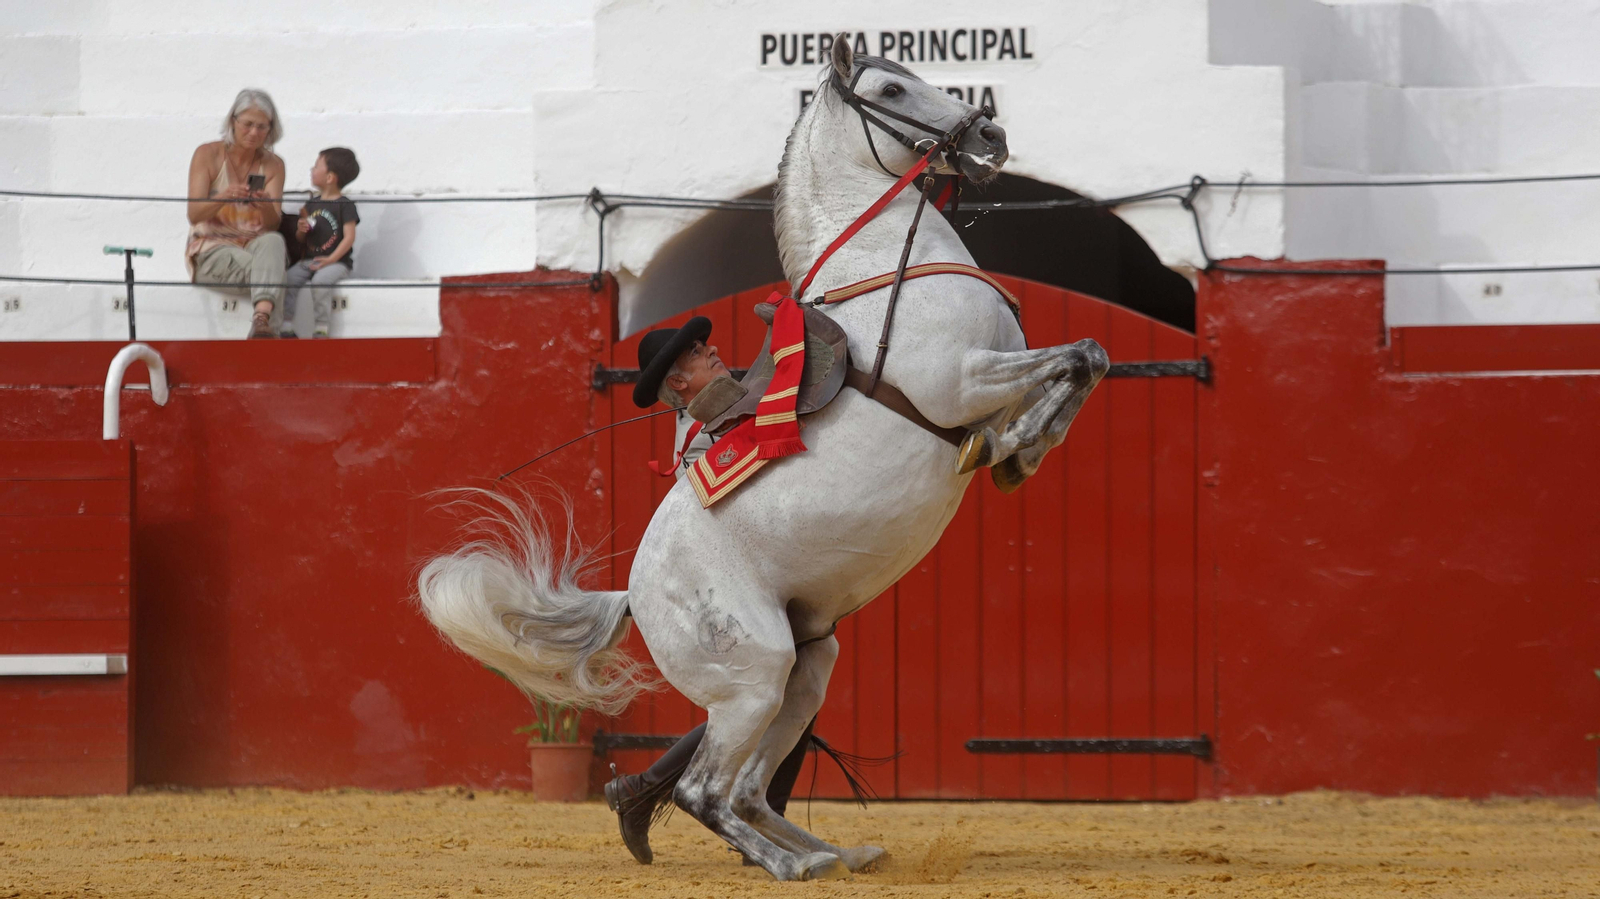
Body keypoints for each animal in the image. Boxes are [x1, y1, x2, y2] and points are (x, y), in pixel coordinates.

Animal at [417, 36, 1109, 881]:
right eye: (890, 89)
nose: (990, 138)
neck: (884, 267)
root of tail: (632, 595)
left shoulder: (991, 383)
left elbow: (1086, 360)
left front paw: (1020, 450)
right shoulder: (960, 381)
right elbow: (1080, 355)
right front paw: (1019, 449)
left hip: (807, 668)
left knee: (747, 788)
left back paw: (836, 851)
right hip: (754, 677)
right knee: (706, 789)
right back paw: (791, 864)